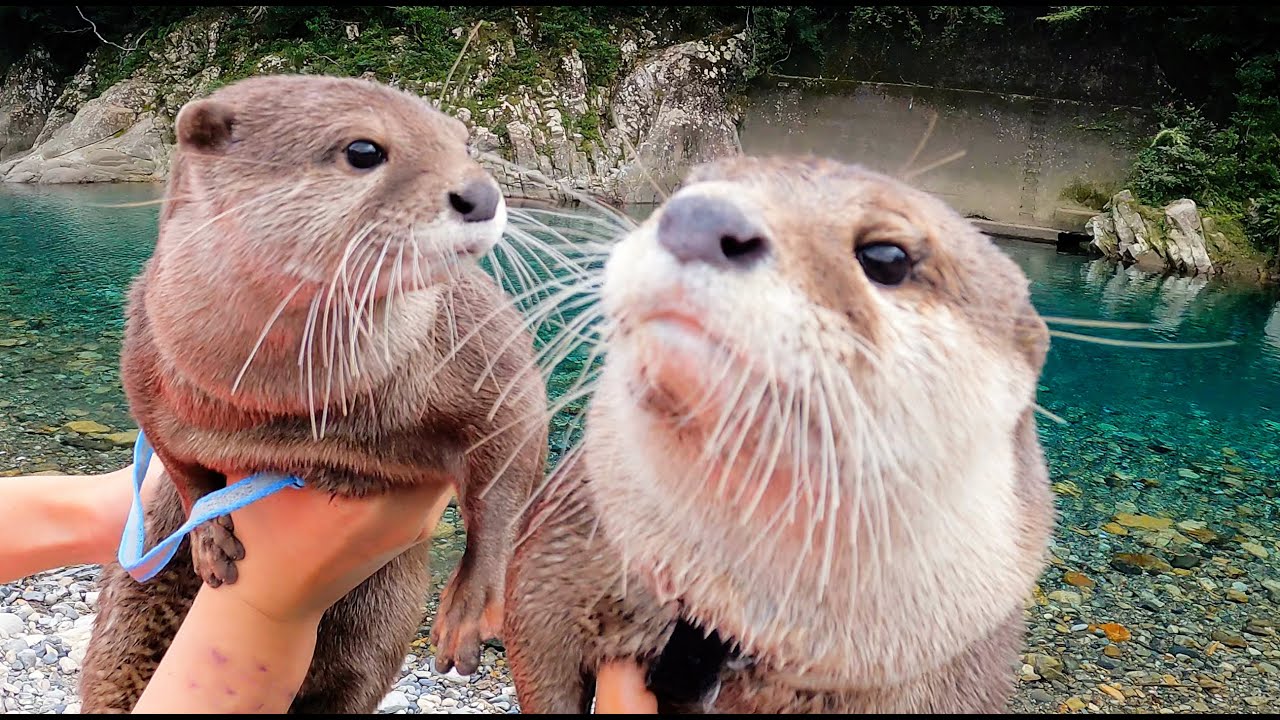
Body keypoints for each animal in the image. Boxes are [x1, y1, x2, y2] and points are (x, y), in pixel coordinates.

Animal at [74, 74, 545, 712]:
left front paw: (469, 608)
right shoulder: (145, 364)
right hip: (128, 612)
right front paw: (208, 534)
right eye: (363, 150)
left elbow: (510, 458)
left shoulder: (483, 342)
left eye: (464, 141)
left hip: (380, 626)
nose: (482, 194)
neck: (307, 403)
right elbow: (179, 465)